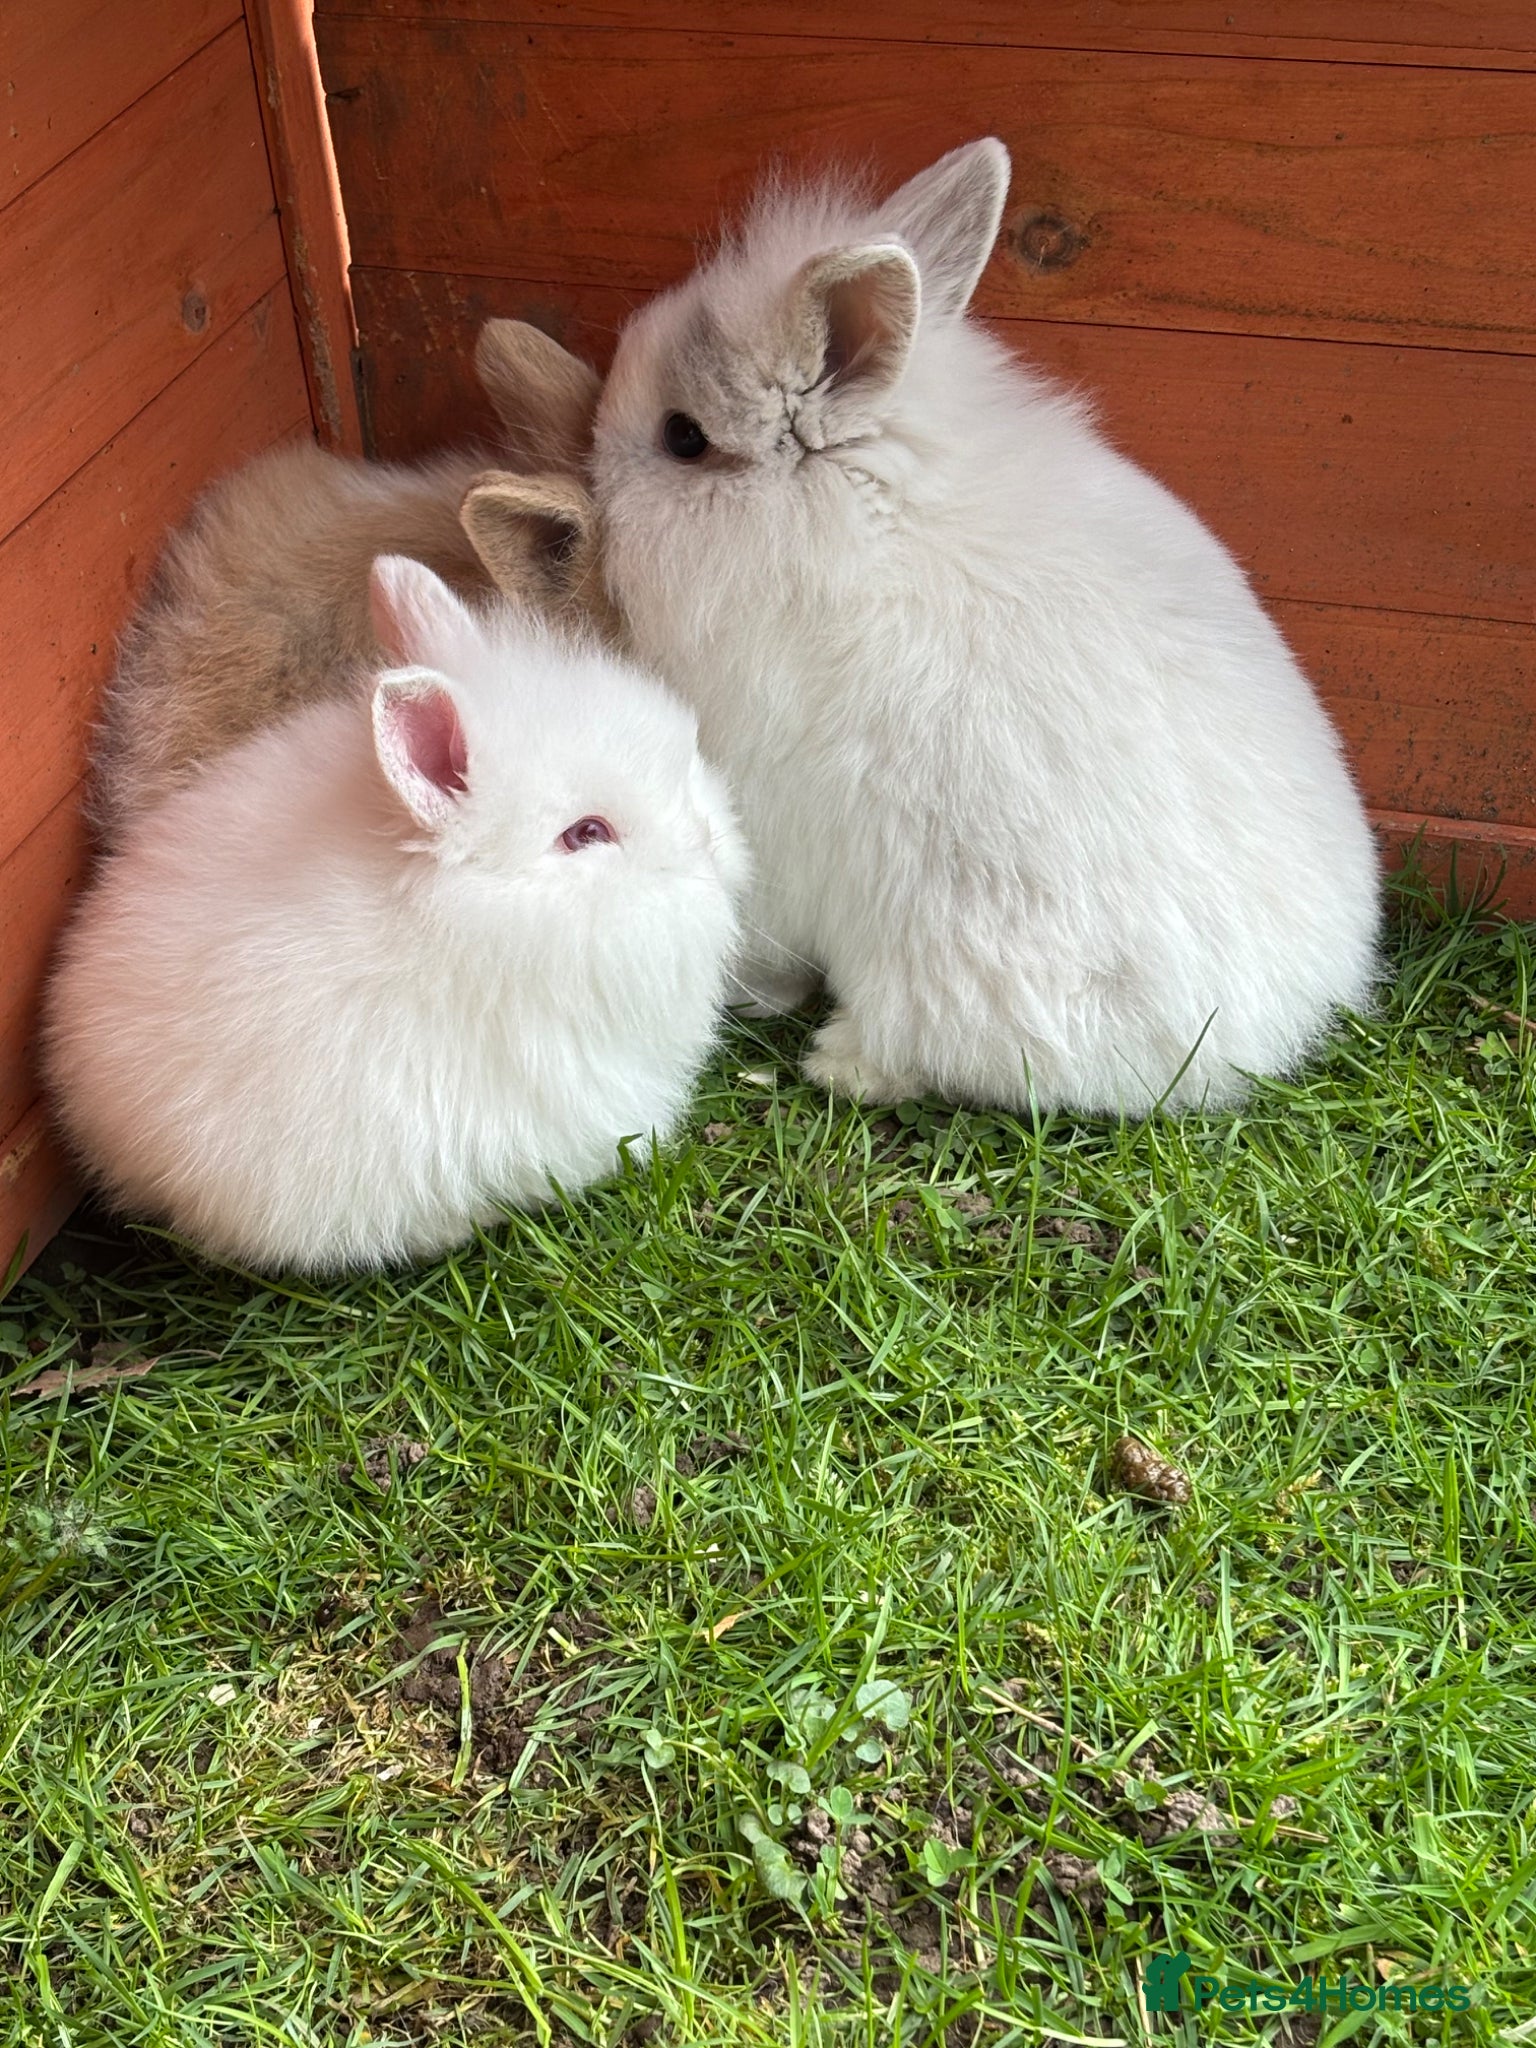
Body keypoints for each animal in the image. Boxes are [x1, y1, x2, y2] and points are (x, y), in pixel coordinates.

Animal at [591, 139, 1383, 1118]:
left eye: (683, 437)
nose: (592, 478)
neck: (851, 521)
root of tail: (1266, 1034)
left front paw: (751, 994)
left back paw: (840, 1061)